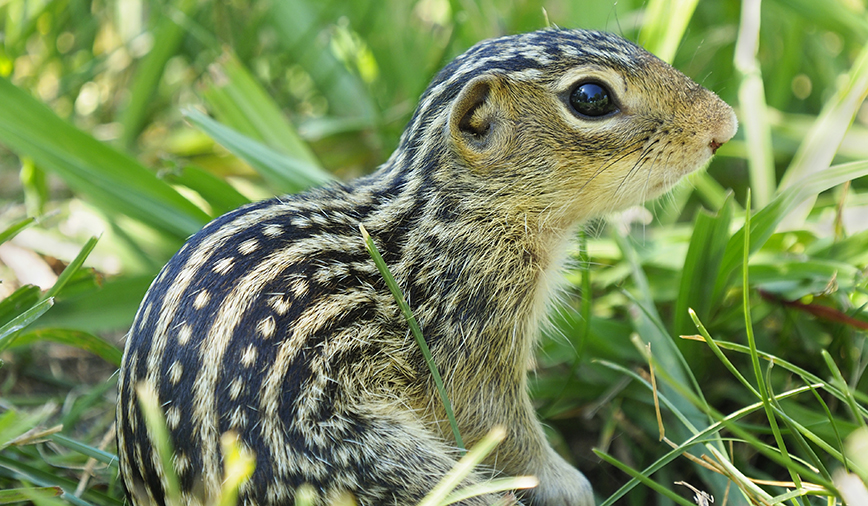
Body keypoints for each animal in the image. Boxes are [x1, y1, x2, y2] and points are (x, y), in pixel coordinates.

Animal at [117, 28, 740, 506]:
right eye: (591, 97)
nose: (726, 124)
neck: (450, 213)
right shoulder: (470, 336)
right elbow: (501, 427)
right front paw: (572, 485)